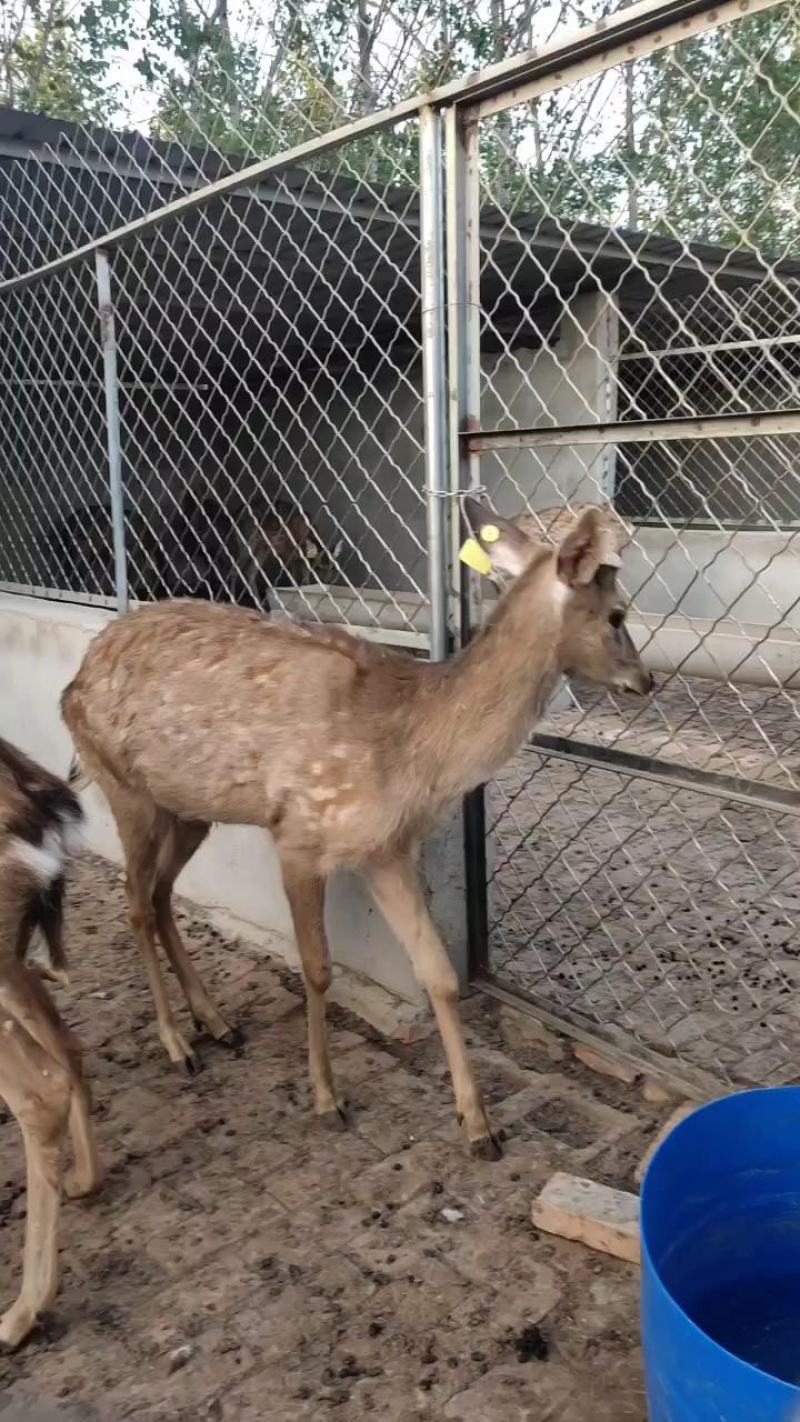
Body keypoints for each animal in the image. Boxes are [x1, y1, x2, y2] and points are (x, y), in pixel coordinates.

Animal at [60, 498, 652, 1159]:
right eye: (617, 612)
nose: (645, 680)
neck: (412, 749)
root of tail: (73, 682)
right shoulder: (298, 833)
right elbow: (317, 969)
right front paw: (326, 1097)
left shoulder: (387, 849)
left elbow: (440, 975)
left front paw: (478, 1124)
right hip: (122, 787)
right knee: (135, 902)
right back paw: (177, 1044)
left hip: (188, 808)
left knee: (161, 894)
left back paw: (216, 1022)